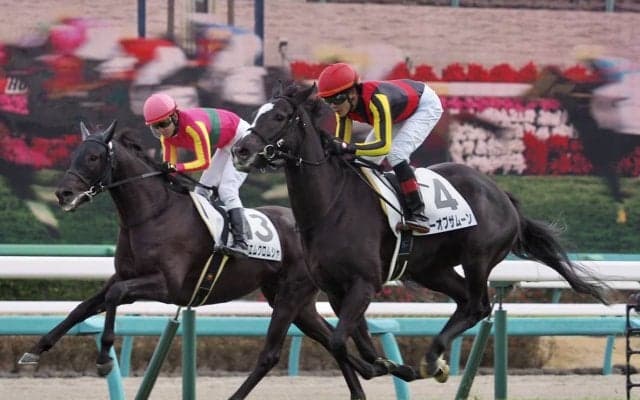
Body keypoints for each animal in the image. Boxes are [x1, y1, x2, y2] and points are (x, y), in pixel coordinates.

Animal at [22, 120, 399, 400]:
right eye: (75, 153)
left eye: (93, 158)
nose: (63, 194)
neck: (151, 213)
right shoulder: (123, 276)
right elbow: (82, 307)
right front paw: (36, 349)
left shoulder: (166, 286)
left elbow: (113, 298)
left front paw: (103, 358)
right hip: (295, 300)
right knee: (330, 337)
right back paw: (373, 377)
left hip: (292, 294)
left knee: (273, 354)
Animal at [232, 82, 610, 382]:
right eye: (255, 113)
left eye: (280, 117)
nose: (241, 150)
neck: (330, 205)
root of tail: (501, 194)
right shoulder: (337, 289)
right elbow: (356, 345)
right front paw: (389, 366)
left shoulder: (364, 283)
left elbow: (340, 340)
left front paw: (396, 367)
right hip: (430, 269)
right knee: (465, 301)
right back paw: (435, 361)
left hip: (478, 256)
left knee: (478, 305)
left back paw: (432, 358)